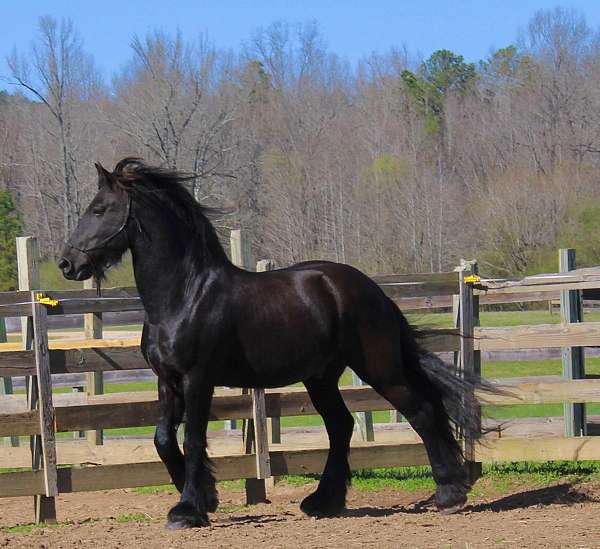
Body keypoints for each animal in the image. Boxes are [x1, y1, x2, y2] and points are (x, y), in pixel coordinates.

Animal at [61, 158, 490, 528]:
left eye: (99, 209)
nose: (68, 263)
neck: (185, 294)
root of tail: (372, 290)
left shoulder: (198, 379)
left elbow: (194, 439)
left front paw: (189, 510)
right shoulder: (167, 380)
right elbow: (163, 439)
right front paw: (205, 499)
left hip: (379, 367)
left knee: (421, 412)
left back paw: (449, 494)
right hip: (321, 377)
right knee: (342, 425)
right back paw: (323, 502)